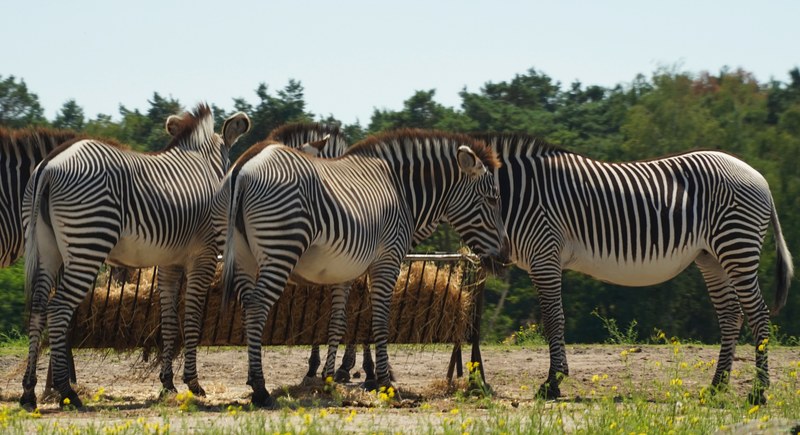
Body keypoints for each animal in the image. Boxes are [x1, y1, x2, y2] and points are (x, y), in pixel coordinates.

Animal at [20, 104, 251, 409]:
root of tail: (48, 165)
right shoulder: (204, 255)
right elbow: (191, 316)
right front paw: (193, 383)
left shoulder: (169, 263)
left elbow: (169, 320)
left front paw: (167, 384)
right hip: (87, 244)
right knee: (57, 309)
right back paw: (67, 392)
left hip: (46, 248)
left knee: (37, 309)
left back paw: (28, 393)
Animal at [216, 130, 510, 407]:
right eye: (492, 199)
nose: (506, 256)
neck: (401, 191)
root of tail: (245, 164)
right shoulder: (387, 261)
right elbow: (379, 322)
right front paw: (384, 383)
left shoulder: (345, 272)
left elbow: (338, 323)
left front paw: (329, 380)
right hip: (281, 248)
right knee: (257, 307)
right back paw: (261, 390)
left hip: (243, 255)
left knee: (247, 305)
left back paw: (254, 381)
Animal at [471, 133, 793, 404]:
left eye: (491, 201)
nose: (492, 259)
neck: (521, 195)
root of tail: (759, 178)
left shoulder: (544, 254)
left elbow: (553, 320)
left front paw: (552, 384)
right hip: (712, 257)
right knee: (731, 315)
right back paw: (716, 388)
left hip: (736, 245)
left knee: (757, 313)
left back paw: (758, 392)